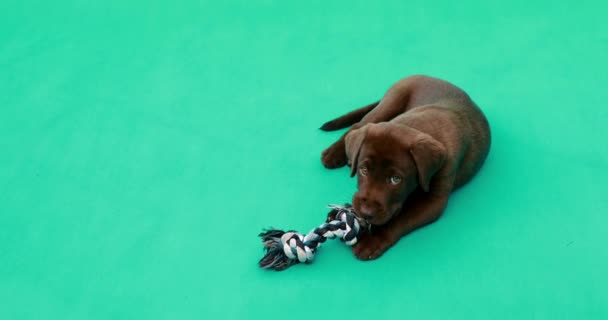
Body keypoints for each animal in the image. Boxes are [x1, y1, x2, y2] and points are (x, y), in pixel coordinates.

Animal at [320, 75, 492, 260]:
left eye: (396, 179)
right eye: (363, 171)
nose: (366, 212)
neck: (416, 126)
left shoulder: (434, 201)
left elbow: (401, 218)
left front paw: (372, 238)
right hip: (389, 103)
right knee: (358, 125)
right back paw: (333, 153)